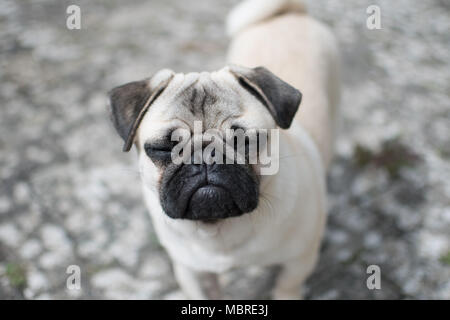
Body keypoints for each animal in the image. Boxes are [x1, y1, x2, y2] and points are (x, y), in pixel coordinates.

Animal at [109, 0, 340, 300]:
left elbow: (286, 287)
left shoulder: (297, 263)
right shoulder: (191, 271)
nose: (206, 157)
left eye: (245, 141)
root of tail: (291, 12)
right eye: (163, 147)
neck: (219, 229)